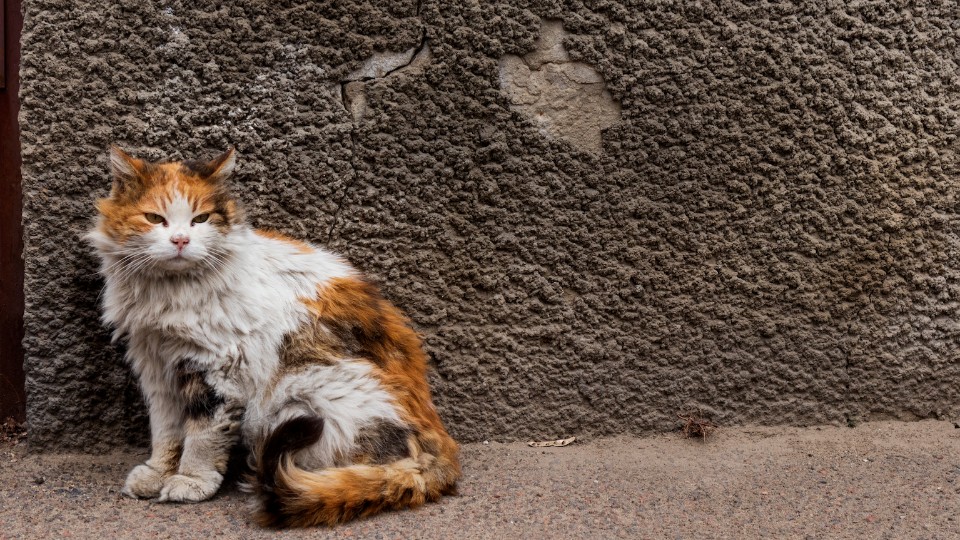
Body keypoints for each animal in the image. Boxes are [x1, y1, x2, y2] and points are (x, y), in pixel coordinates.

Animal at [88, 148, 464, 528]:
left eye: (201, 219)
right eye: (154, 218)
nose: (181, 240)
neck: (168, 294)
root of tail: (442, 440)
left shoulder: (218, 369)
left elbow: (202, 436)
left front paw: (191, 481)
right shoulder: (156, 367)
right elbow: (165, 432)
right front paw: (156, 473)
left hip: (307, 391)